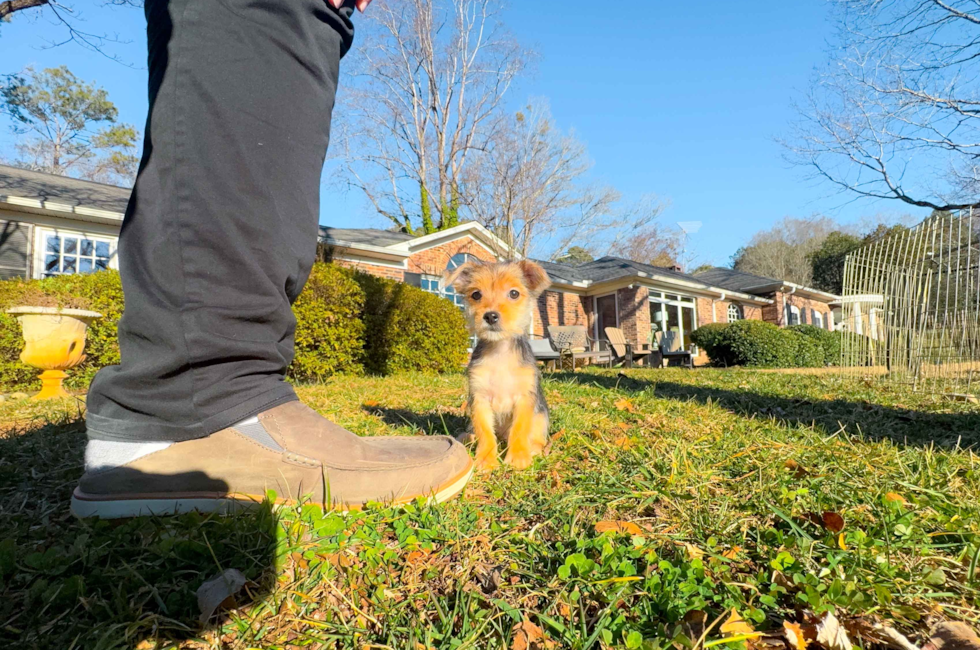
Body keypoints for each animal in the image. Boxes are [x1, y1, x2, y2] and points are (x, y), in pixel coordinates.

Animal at [444, 256, 552, 466]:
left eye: (514, 293)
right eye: (476, 295)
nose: (490, 315)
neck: (499, 351)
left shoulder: (524, 398)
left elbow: (519, 429)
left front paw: (518, 457)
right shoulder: (479, 399)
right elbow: (485, 432)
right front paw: (486, 459)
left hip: (541, 415)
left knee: (537, 436)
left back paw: (534, 448)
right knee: (475, 433)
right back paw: (466, 439)